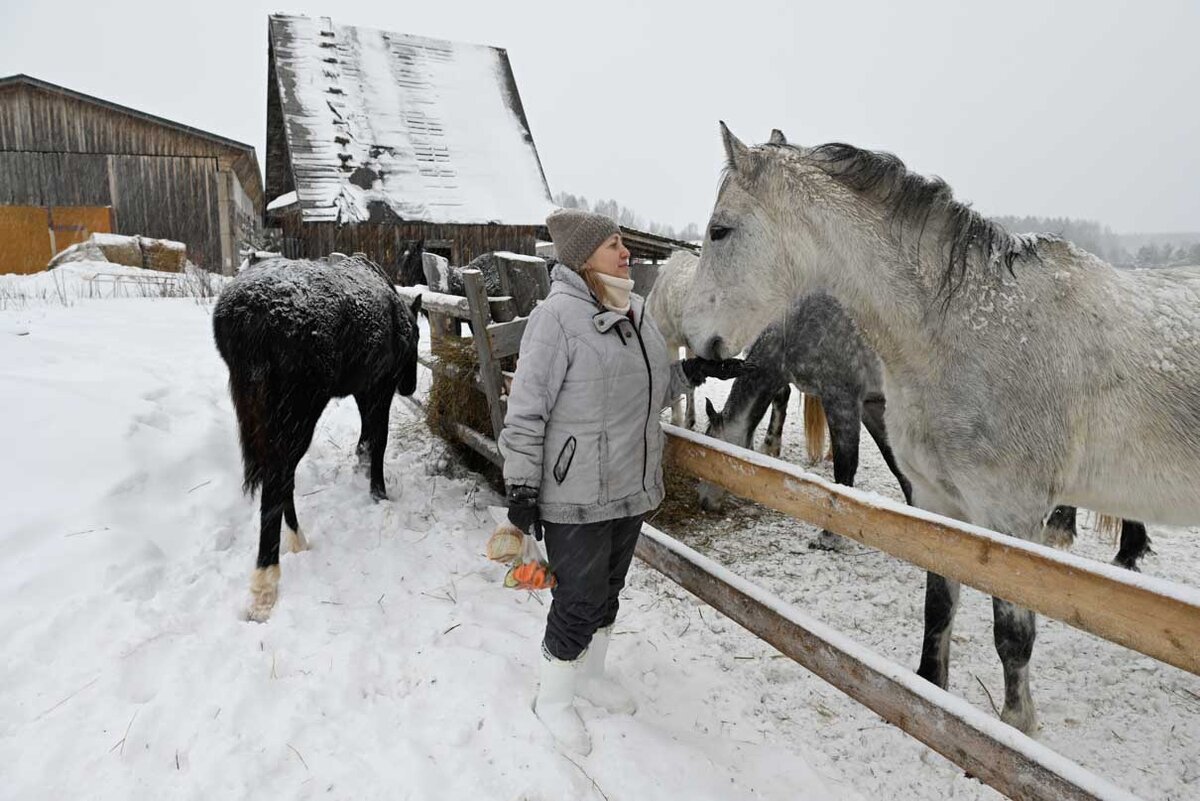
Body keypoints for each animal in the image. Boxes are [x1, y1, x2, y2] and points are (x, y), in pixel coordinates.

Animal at [216, 255, 422, 618]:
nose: (409, 387)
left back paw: (296, 539)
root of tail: (245, 315)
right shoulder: (379, 388)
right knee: (278, 478)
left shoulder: (363, 389)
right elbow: (379, 440)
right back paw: (265, 583)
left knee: (280, 474)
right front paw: (378, 492)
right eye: (420, 337)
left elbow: (365, 440)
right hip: (298, 412)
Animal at [681, 125, 1195, 733]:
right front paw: (930, 690)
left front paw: (1015, 725)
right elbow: (937, 600)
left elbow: (1012, 633)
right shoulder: (933, 492)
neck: (969, 329)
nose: (695, 339)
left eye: (720, 230)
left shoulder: (1004, 510)